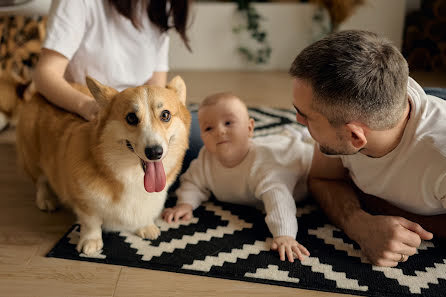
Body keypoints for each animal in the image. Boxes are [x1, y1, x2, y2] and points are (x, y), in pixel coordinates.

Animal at [15, 76, 190, 254]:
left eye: (165, 115)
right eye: (131, 118)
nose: (154, 152)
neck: (132, 174)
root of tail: (36, 93)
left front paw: (145, 226)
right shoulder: (84, 200)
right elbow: (91, 222)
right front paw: (91, 242)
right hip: (32, 156)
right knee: (40, 181)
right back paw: (46, 199)